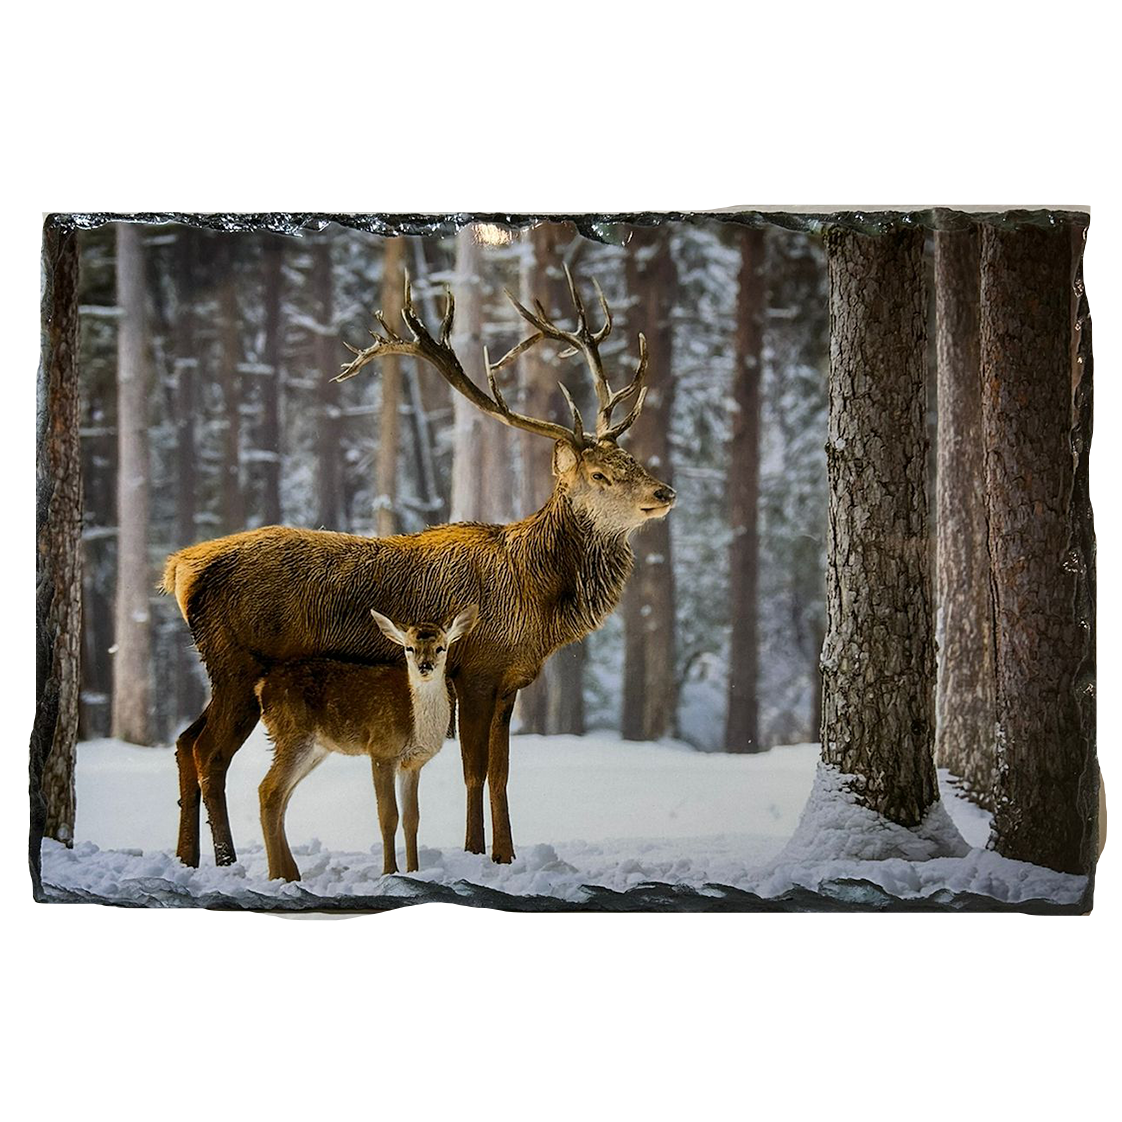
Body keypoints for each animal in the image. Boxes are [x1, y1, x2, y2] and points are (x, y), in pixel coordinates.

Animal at [255, 605, 478, 881]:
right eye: (409, 647)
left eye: (441, 647)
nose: (424, 666)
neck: (416, 727)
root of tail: (261, 688)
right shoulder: (382, 749)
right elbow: (388, 815)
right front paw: (390, 871)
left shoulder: (413, 764)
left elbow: (412, 818)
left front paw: (414, 870)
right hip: (293, 733)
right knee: (269, 791)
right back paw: (277, 875)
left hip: (315, 748)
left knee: (284, 796)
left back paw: (291, 873)